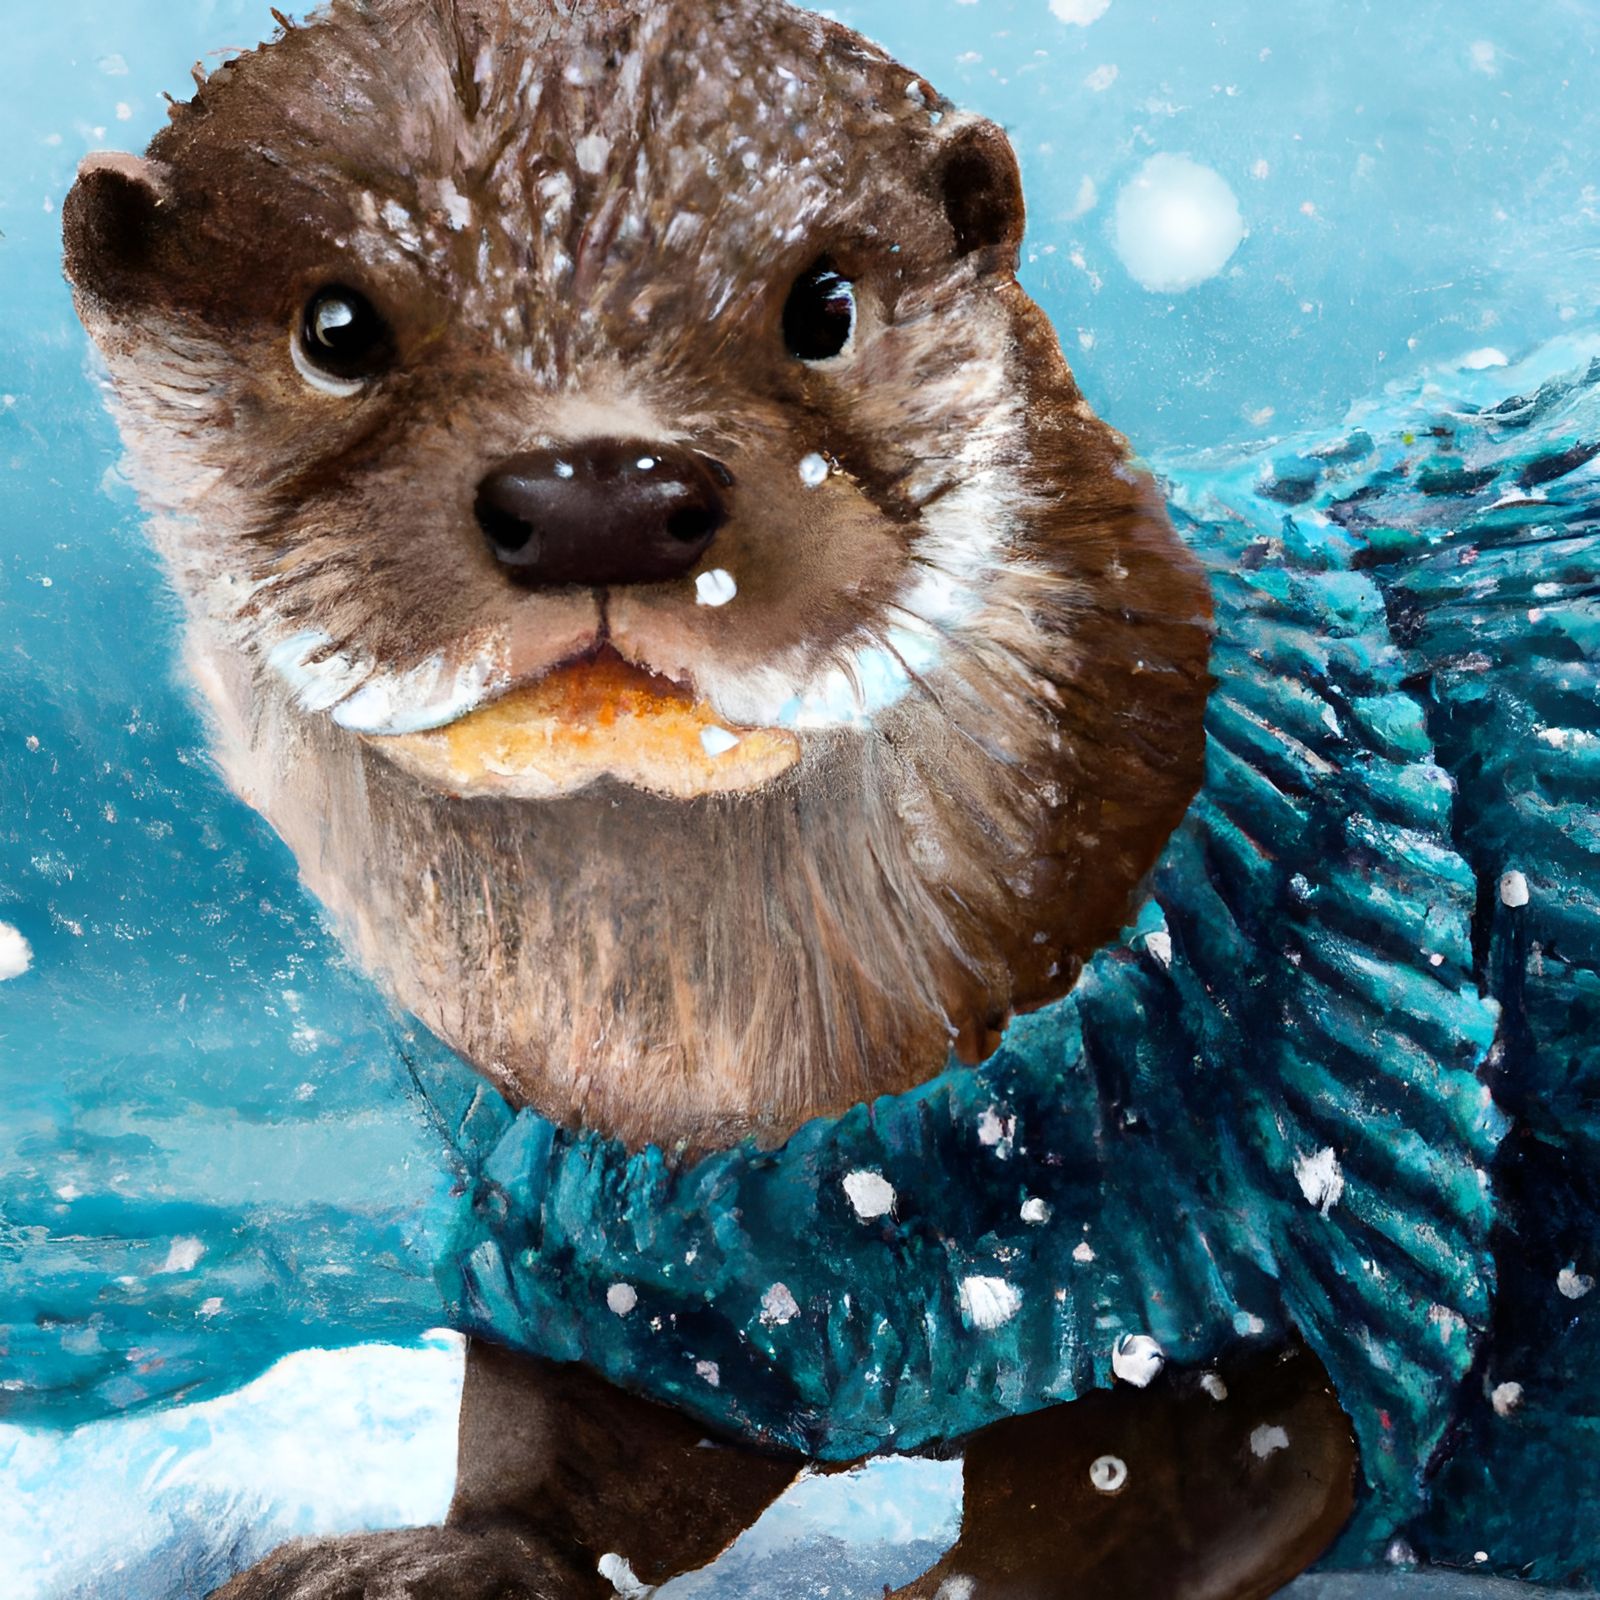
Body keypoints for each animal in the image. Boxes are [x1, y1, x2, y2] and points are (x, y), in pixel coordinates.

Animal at [63, 0, 1358, 1595]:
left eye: (824, 305)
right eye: (337, 327)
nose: (598, 492)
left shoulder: (1204, 1264)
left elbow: (1198, 1485)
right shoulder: (630, 1269)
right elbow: (580, 1458)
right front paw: (417, 1556)